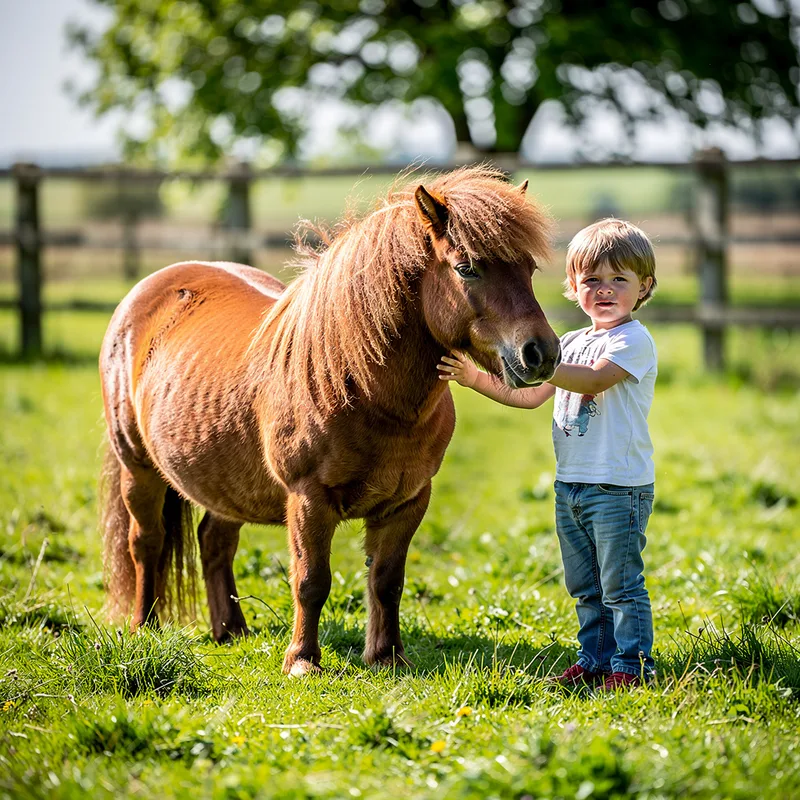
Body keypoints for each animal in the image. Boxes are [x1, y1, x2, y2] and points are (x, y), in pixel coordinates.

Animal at [99, 166, 561, 676]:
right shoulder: (309, 499)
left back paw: (232, 631)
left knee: (214, 541)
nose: (541, 354)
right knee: (147, 543)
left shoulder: (408, 501)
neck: (360, 386)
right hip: (137, 467)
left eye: (529, 269)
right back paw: (145, 627)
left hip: (224, 478)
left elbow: (387, 580)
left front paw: (387, 656)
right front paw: (303, 660)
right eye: (467, 268)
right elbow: (312, 580)